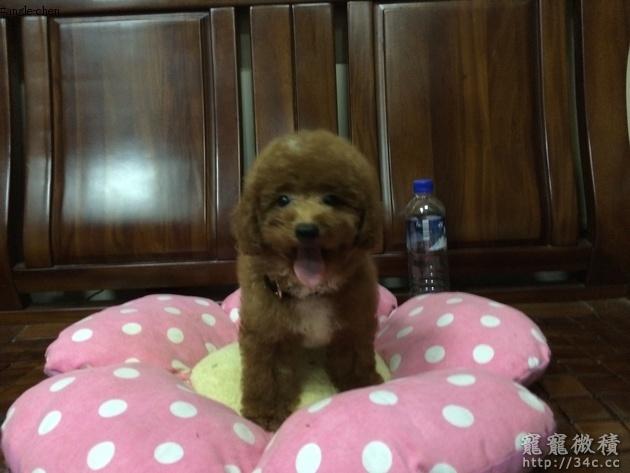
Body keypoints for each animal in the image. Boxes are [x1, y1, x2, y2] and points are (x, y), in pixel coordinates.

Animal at [231, 130, 384, 431]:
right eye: (282, 200)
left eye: (331, 199)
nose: (306, 229)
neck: (311, 291)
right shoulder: (269, 332)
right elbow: (267, 375)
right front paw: (266, 412)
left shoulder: (354, 323)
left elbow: (356, 359)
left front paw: (362, 387)